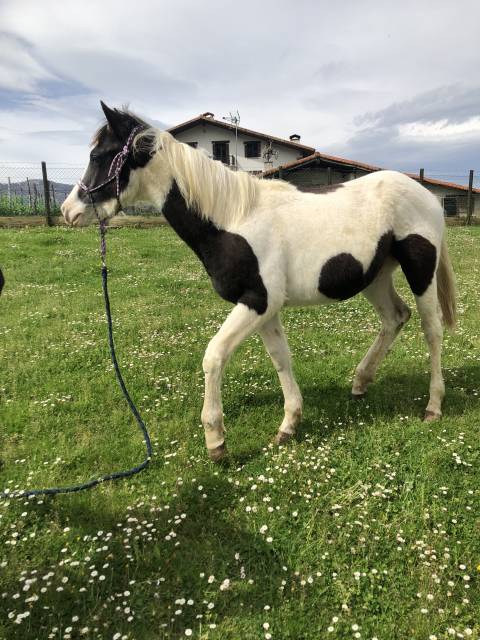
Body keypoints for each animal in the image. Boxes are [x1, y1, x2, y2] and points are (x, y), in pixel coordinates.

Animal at [62, 102, 457, 462]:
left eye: (100, 155)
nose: (69, 212)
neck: (232, 219)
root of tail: (427, 195)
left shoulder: (257, 301)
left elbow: (214, 356)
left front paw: (216, 441)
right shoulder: (267, 309)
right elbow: (281, 358)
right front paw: (289, 425)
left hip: (420, 271)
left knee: (432, 329)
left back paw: (434, 406)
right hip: (375, 277)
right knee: (395, 318)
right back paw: (360, 382)